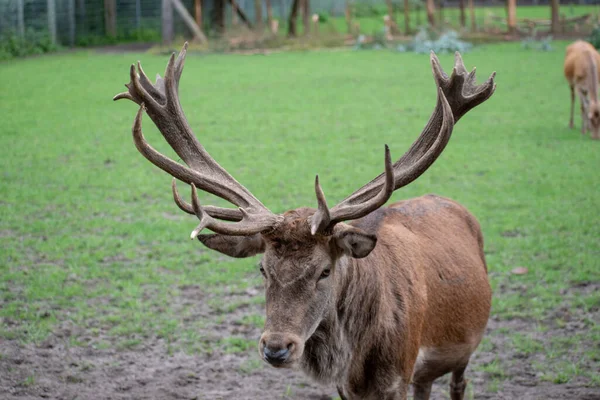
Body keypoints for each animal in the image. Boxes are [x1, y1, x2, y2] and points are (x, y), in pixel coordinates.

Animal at [115, 44, 494, 400]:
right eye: (263, 269)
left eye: (324, 271)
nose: (276, 347)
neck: (357, 363)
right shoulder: (347, 389)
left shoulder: (399, 376)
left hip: (464, 349)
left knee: (459, 383)